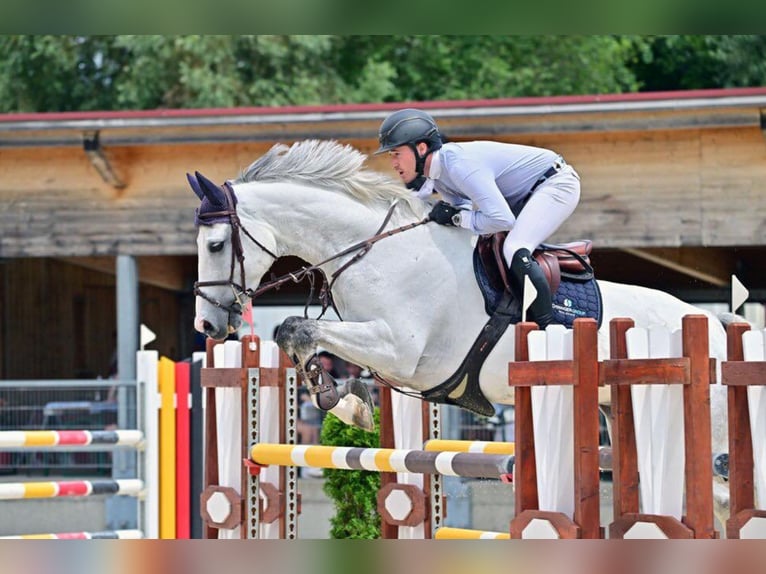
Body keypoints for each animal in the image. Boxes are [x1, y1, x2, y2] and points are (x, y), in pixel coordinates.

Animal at [190, 139, 732, 521]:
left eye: (216, 244)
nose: (209, 324)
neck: (375, 250)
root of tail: (714, 321)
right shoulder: (381, 349)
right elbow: (300, 337)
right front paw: (346, 400)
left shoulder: (400, 349)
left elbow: (298, 329)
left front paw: (340, 400)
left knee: (723, 492)